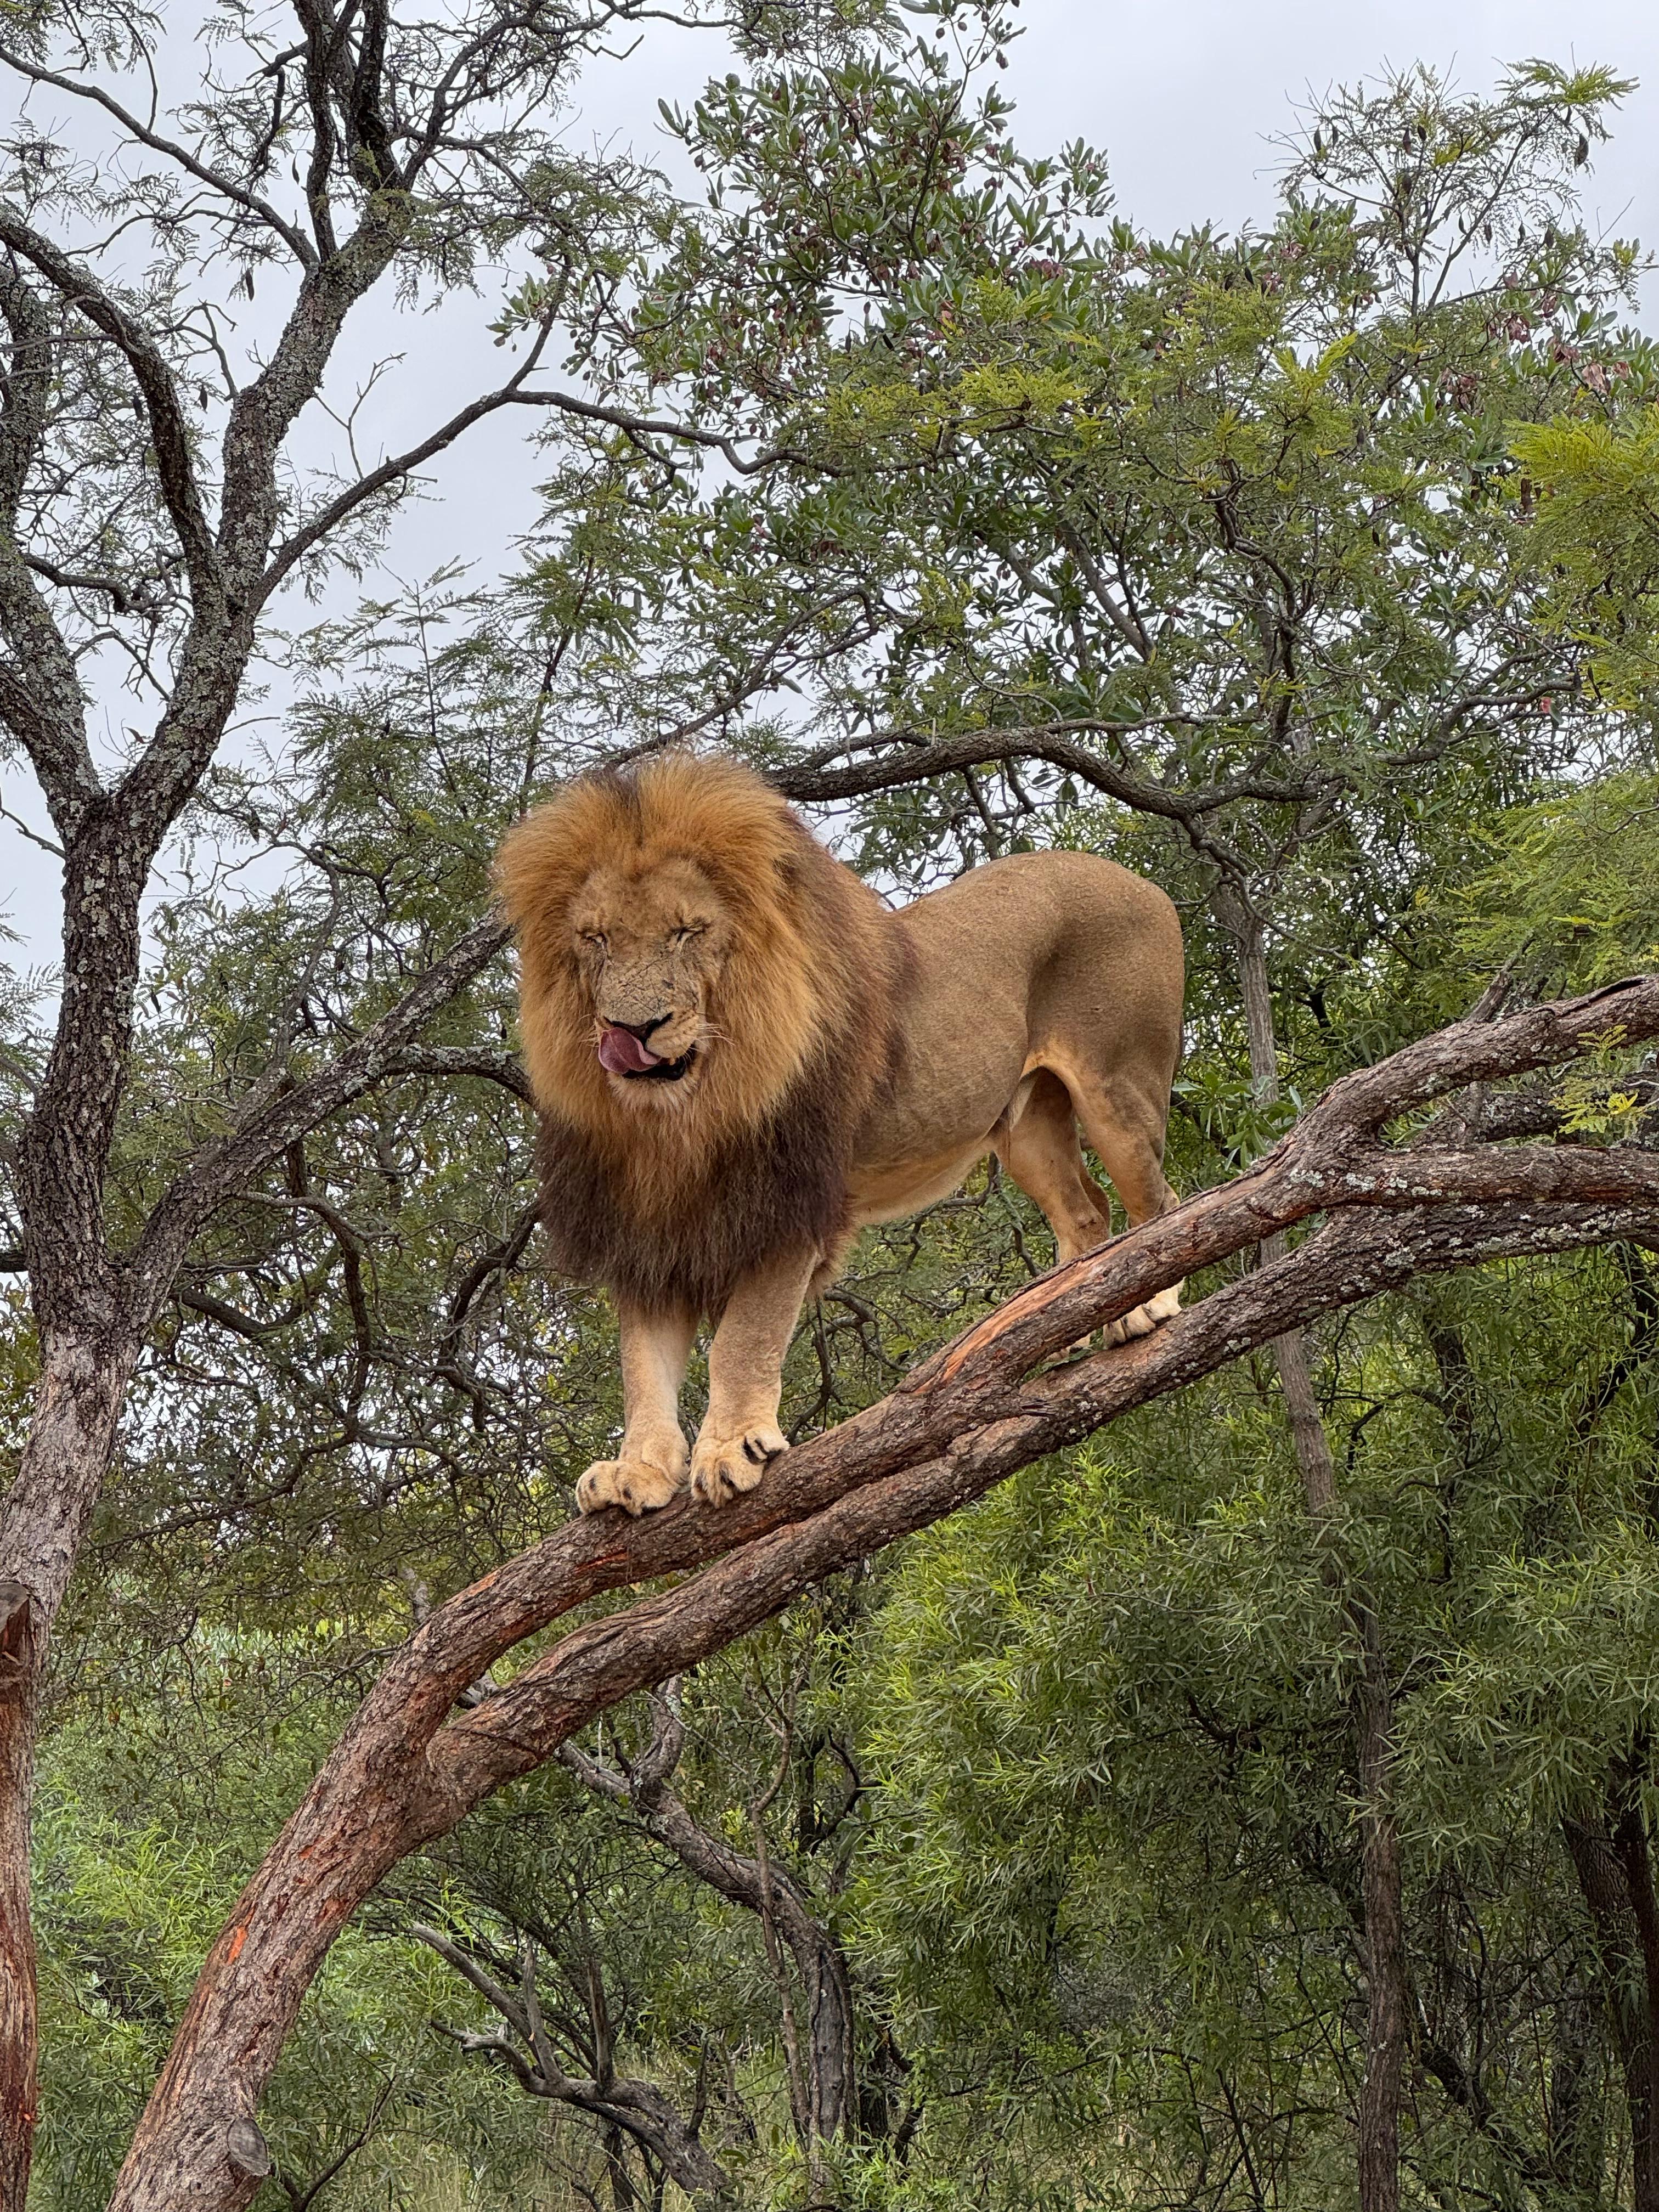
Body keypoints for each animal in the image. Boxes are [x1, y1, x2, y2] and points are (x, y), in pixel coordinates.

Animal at [496, 754, 1184, 1517]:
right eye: (596, 939)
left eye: (687, 932)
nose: (632, 1029)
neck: (680, 1119)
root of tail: (1140, 880)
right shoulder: (651, 1230)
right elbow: (643, 1369)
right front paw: (637, 1471)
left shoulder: (786, 1210)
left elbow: (743, 1340)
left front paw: (731, 1448)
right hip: (1026, 1126)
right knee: (1085, 1213)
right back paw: (1065, 1316)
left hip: (1119, 1087)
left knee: (1162, 1205)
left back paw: (1146, 1304)